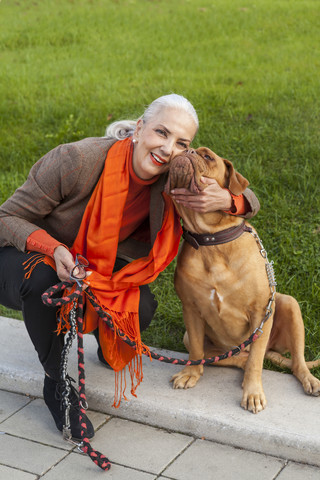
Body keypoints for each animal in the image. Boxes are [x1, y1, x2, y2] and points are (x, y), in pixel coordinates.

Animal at [166, 146, 318, 412]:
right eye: (183, 148)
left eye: (207, 156)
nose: (188, 150)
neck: (212, 241)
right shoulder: (191, 309)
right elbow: (196, 349)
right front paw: (190, 373)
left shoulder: (260, 312)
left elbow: (256, 360)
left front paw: (253, 393)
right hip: (198, 339)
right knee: (232, 358)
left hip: (288, 304)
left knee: (290, 361)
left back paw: (308, 379)